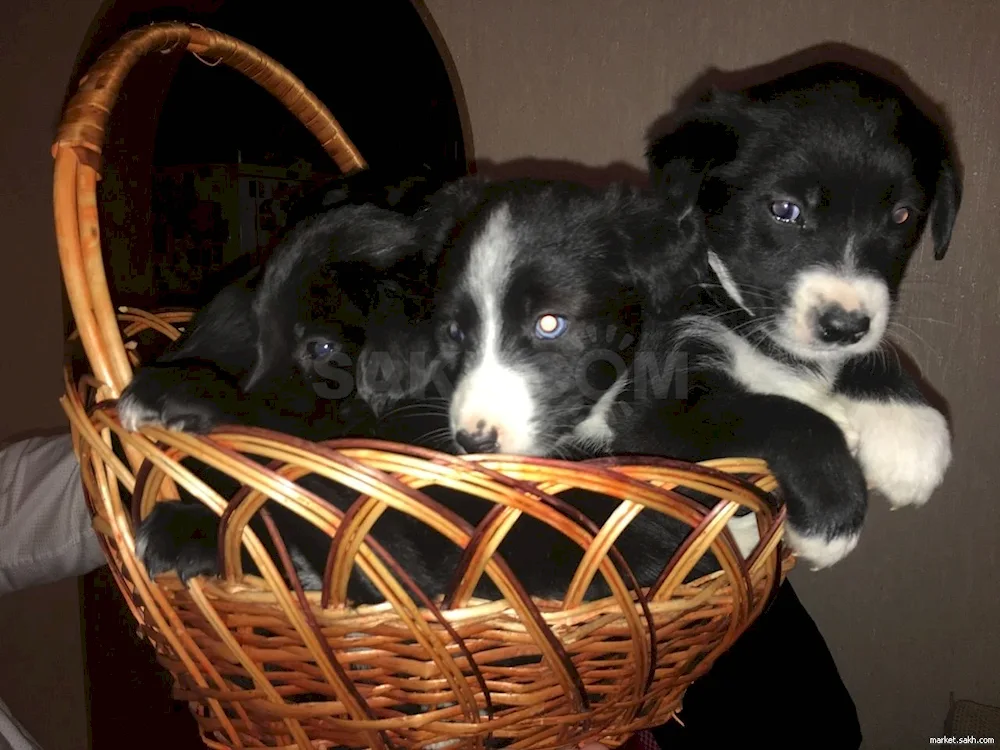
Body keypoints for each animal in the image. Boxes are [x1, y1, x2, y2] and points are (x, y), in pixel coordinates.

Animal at [640, 63, 960, 568]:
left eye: (902, 216)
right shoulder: (652, 410)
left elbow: (871, 351)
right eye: (785, 209)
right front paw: (833, 514)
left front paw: (909, 429)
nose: (844, 327)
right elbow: (778, 414)